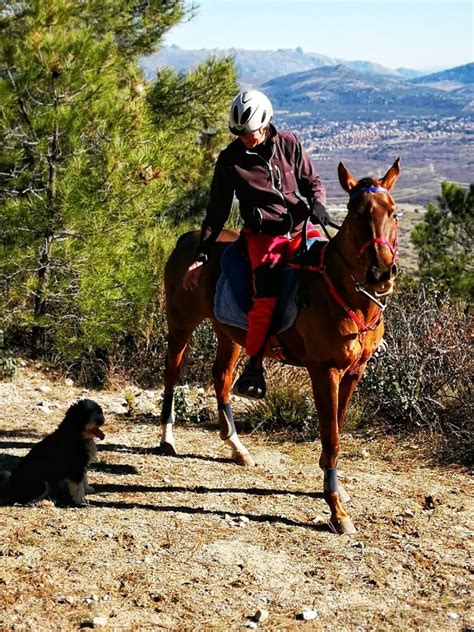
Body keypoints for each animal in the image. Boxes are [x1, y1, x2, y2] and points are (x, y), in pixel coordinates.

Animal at [156, 159, 400, 532]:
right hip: (181, 326)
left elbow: (339, 426)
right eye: (356, 213)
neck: (348, 297)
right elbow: (331, 435)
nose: (381, 273)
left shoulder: (353, 373)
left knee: (221, 378)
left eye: (393, 213)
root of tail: (191, 240)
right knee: (171, 375)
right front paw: (336, 510)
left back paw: (237, 447)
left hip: (230, 335)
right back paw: (167, 438)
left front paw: (335, 487)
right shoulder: (324, 372)